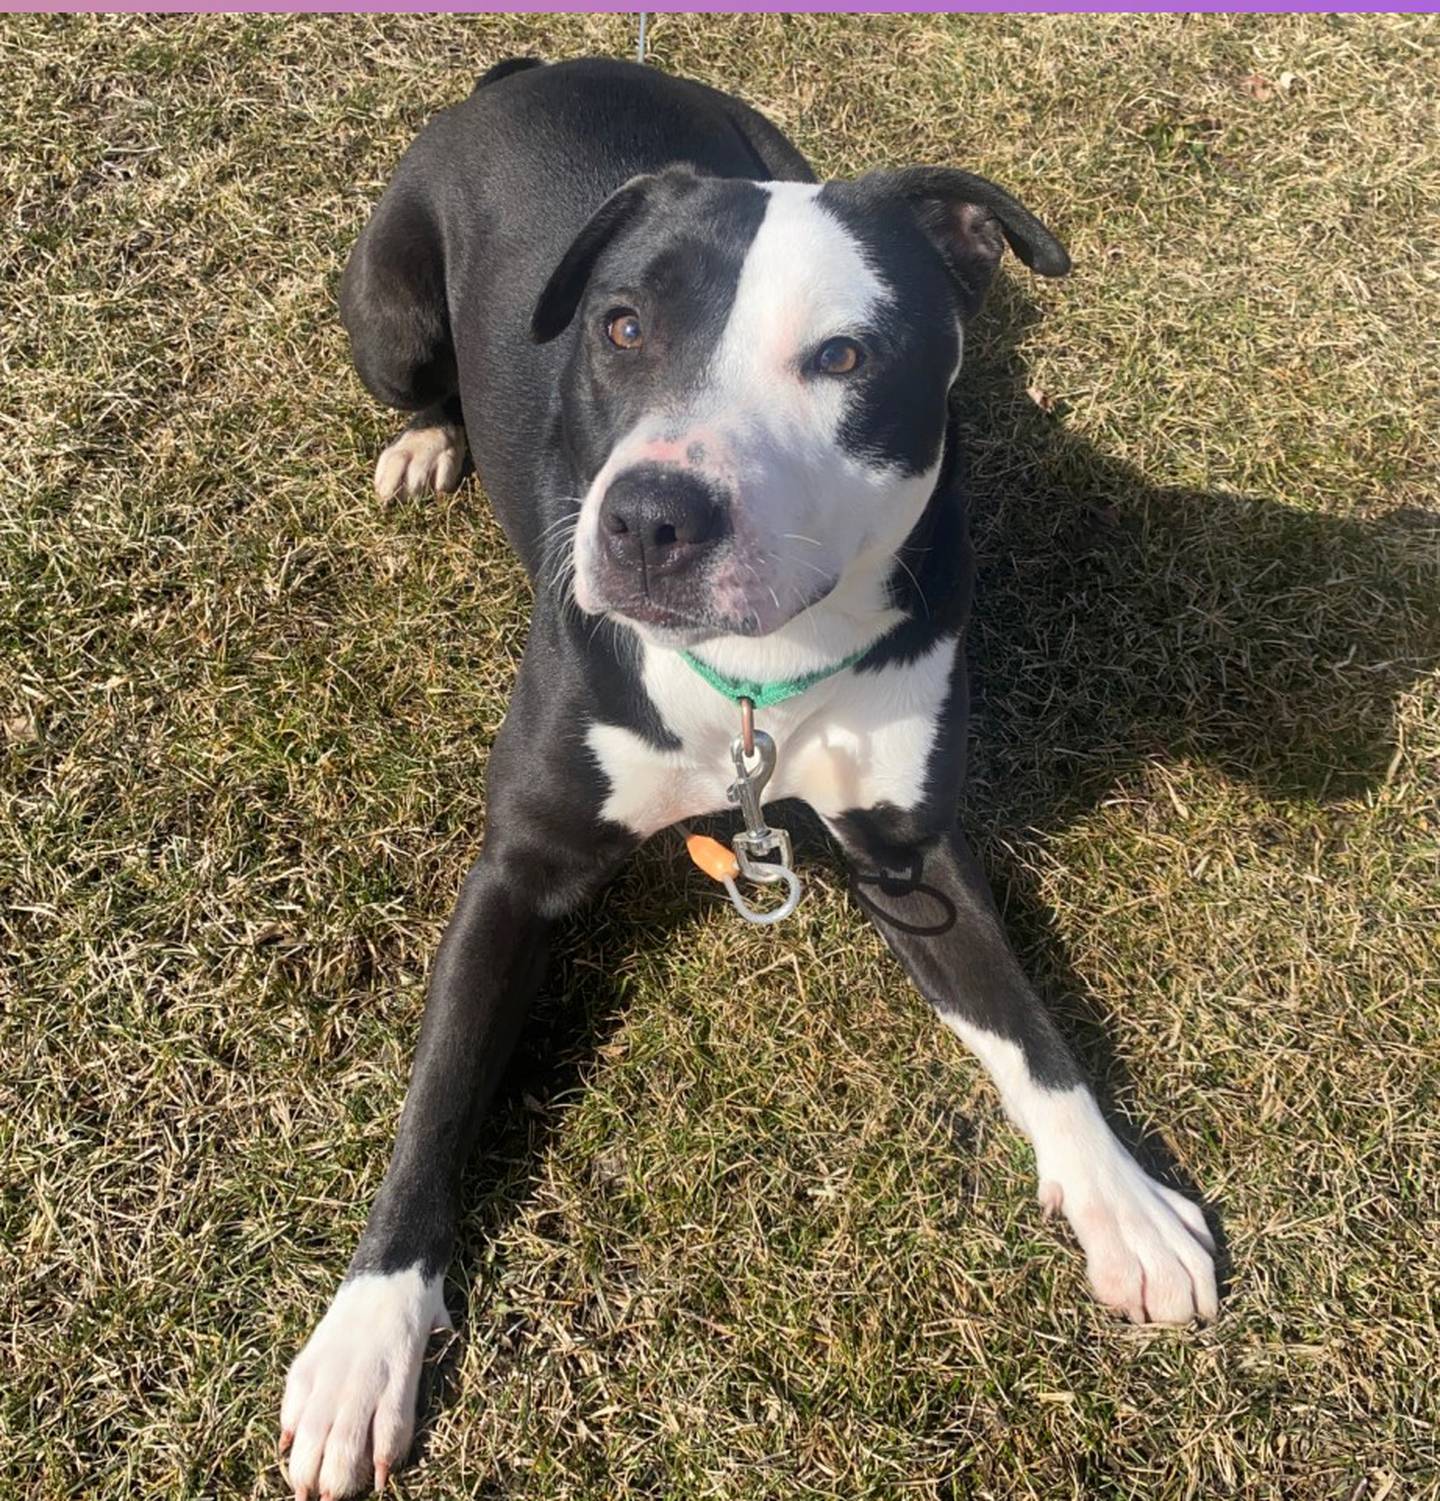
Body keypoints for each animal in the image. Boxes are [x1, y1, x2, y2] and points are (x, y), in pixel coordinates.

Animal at [279, 58, 1213, 1501]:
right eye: (619, 328)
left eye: (845, 356)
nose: (650, 519)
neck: (753, 680)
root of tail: (540, 68)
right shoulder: (516, 875)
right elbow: (434, 1103)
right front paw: (365, 1339)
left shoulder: (911, 853)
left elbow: (1028, 1028)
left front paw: (1122, 1201)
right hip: (387, 316)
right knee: (409, 375)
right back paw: (430, 441)